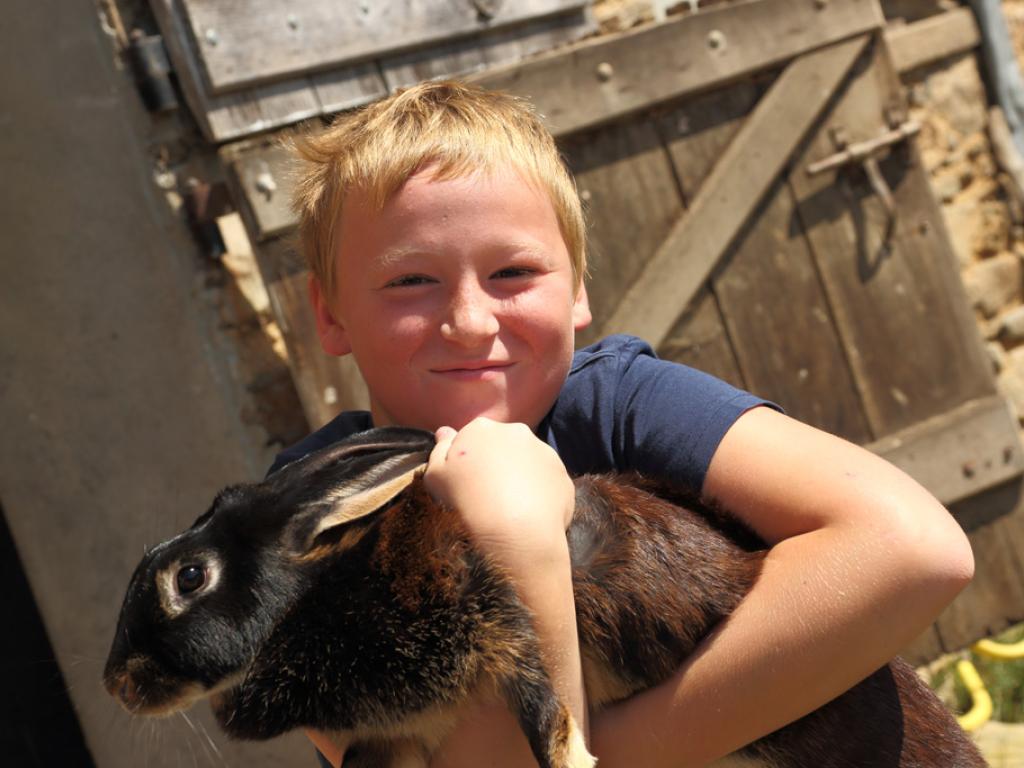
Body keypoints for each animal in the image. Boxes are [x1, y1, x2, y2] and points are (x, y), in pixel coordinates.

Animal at [101, 428, 983, 768]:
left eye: (189, 578)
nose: (115, 683)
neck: (317, 600)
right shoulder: (392, 736)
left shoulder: (492, 614)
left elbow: (542, 705)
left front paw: (573, 758)